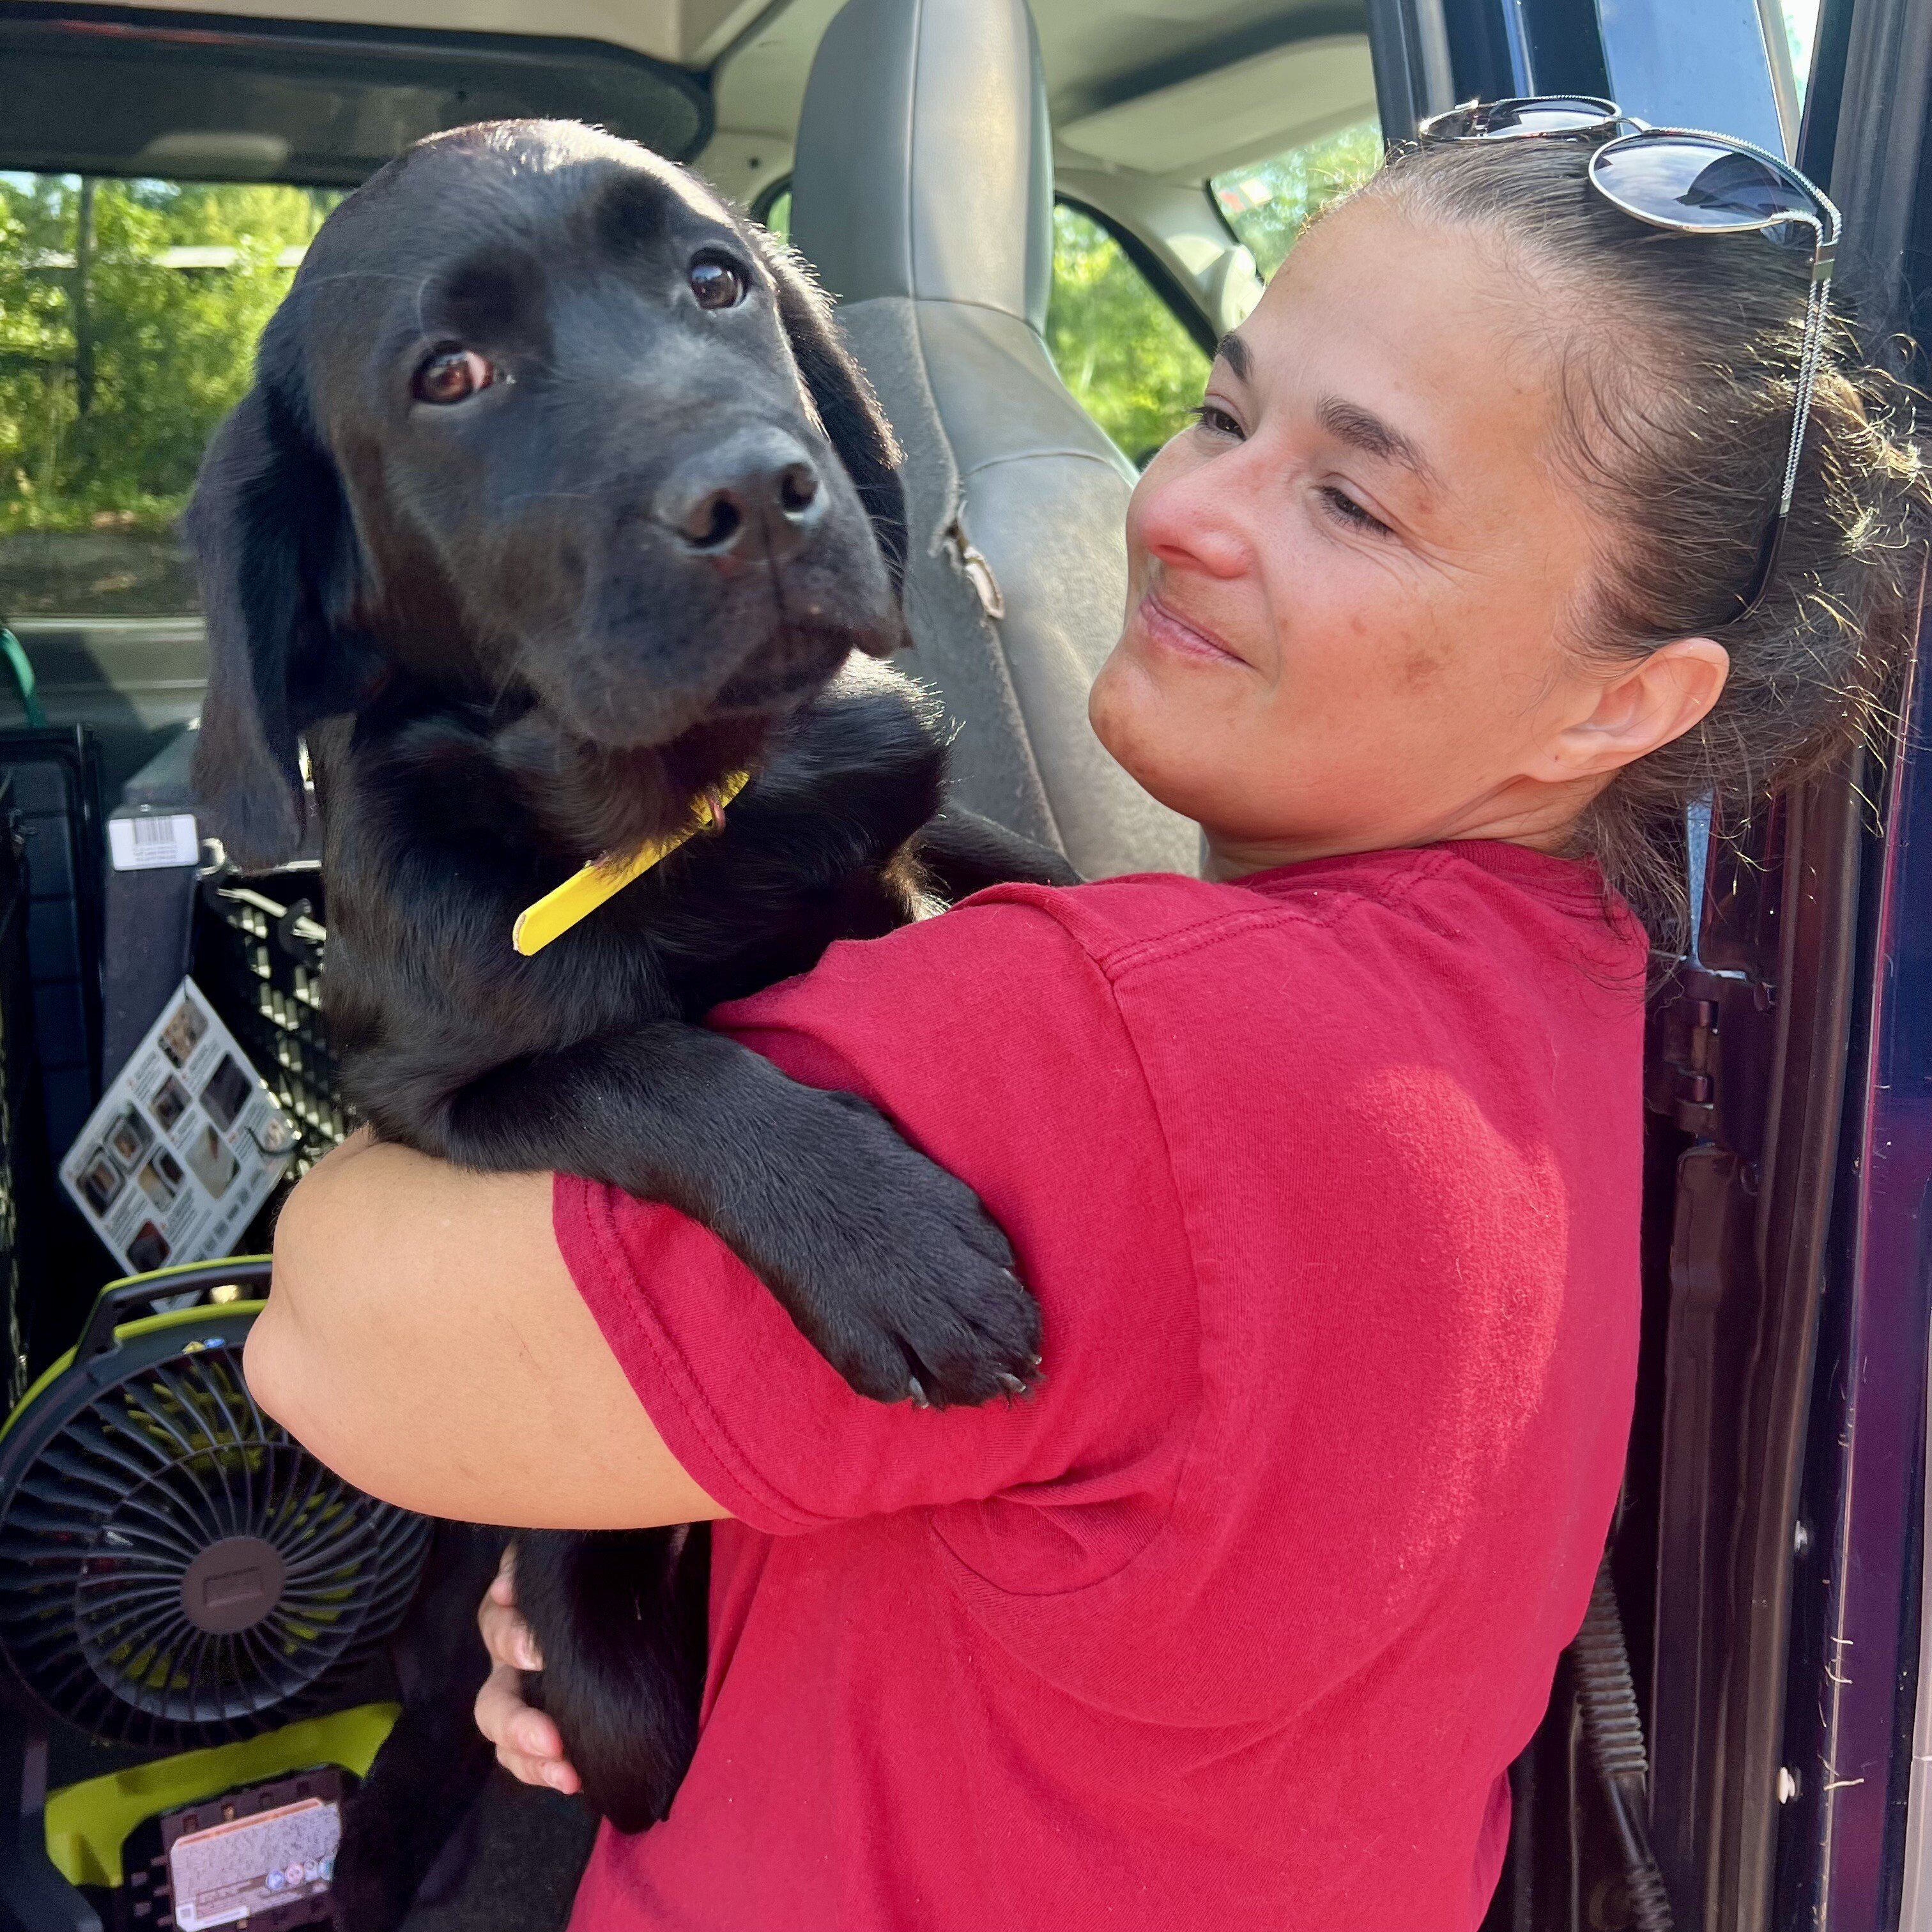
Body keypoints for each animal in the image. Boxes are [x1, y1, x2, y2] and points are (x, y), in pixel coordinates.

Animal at [184, 125, 1074, 1932]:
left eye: (717, 280)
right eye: (449, 377)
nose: (759, 497)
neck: (670, 823)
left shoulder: (899, 833)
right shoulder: (433, 1092)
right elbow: (643, 1062)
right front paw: (890, 1249)